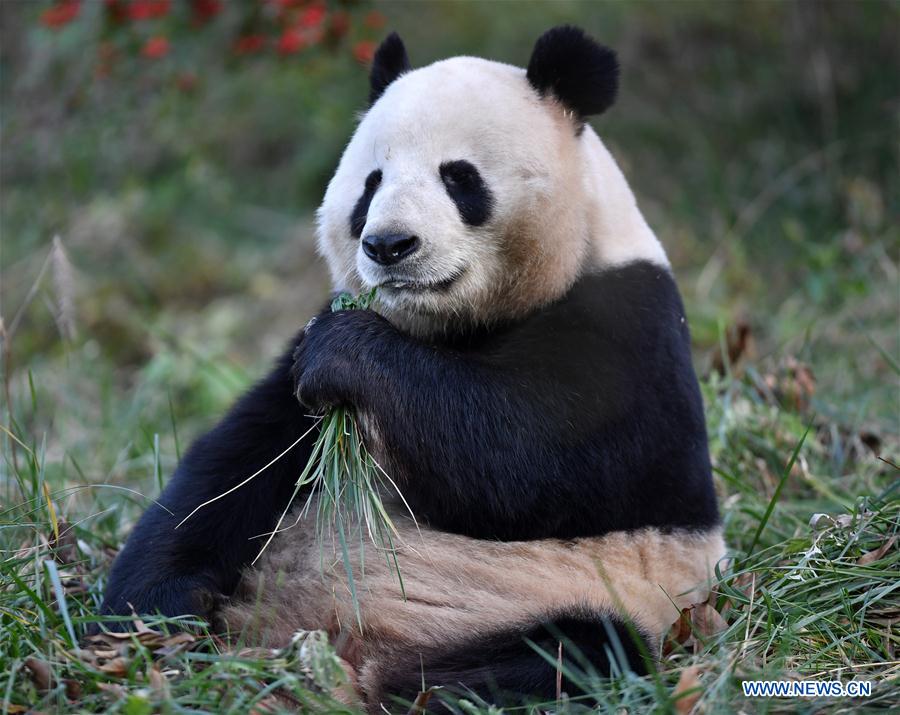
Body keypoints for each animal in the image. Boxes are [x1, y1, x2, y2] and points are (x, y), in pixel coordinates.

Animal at [101, 26, 725, 712]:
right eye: (370, 183)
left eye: (459, 178)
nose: (388, 245)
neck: (454, 327)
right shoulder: (298, 372)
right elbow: (237, 465)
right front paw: (153, 613)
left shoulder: (629, 330)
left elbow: (534, 463)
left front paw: (350, 352)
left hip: (580, 596)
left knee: (582, 649)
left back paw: (424, 687)